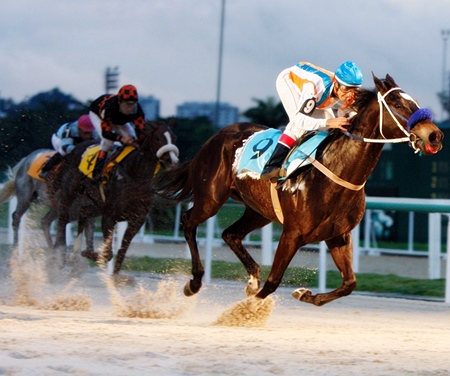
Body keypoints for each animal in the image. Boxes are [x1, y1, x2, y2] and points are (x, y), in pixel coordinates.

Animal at [51, 122, 178, 274]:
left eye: (174, 138)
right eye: (158, 138)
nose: (172, 161)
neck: (136, 176)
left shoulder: (136, 220)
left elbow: (121, 254)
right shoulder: (109, 217)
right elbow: (108, 253)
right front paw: (89, 253)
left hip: (95, 204)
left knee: (83, 214)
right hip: (70, 191)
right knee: (63, 217)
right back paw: (60, 255)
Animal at [155, 73, 442, 306]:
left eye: (415, 102)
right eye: (397, 105)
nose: (435, 135)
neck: (336, 172)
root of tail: (216, 136)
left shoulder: (339, 235)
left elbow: (349, 284)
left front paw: (304, 294)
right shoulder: (293, 233)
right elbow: (273, 282)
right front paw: (242, 312)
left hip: (259, 211)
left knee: (230, 234)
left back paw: (251, 278)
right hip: (211, 197)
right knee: (189, 221)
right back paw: (194, 282)